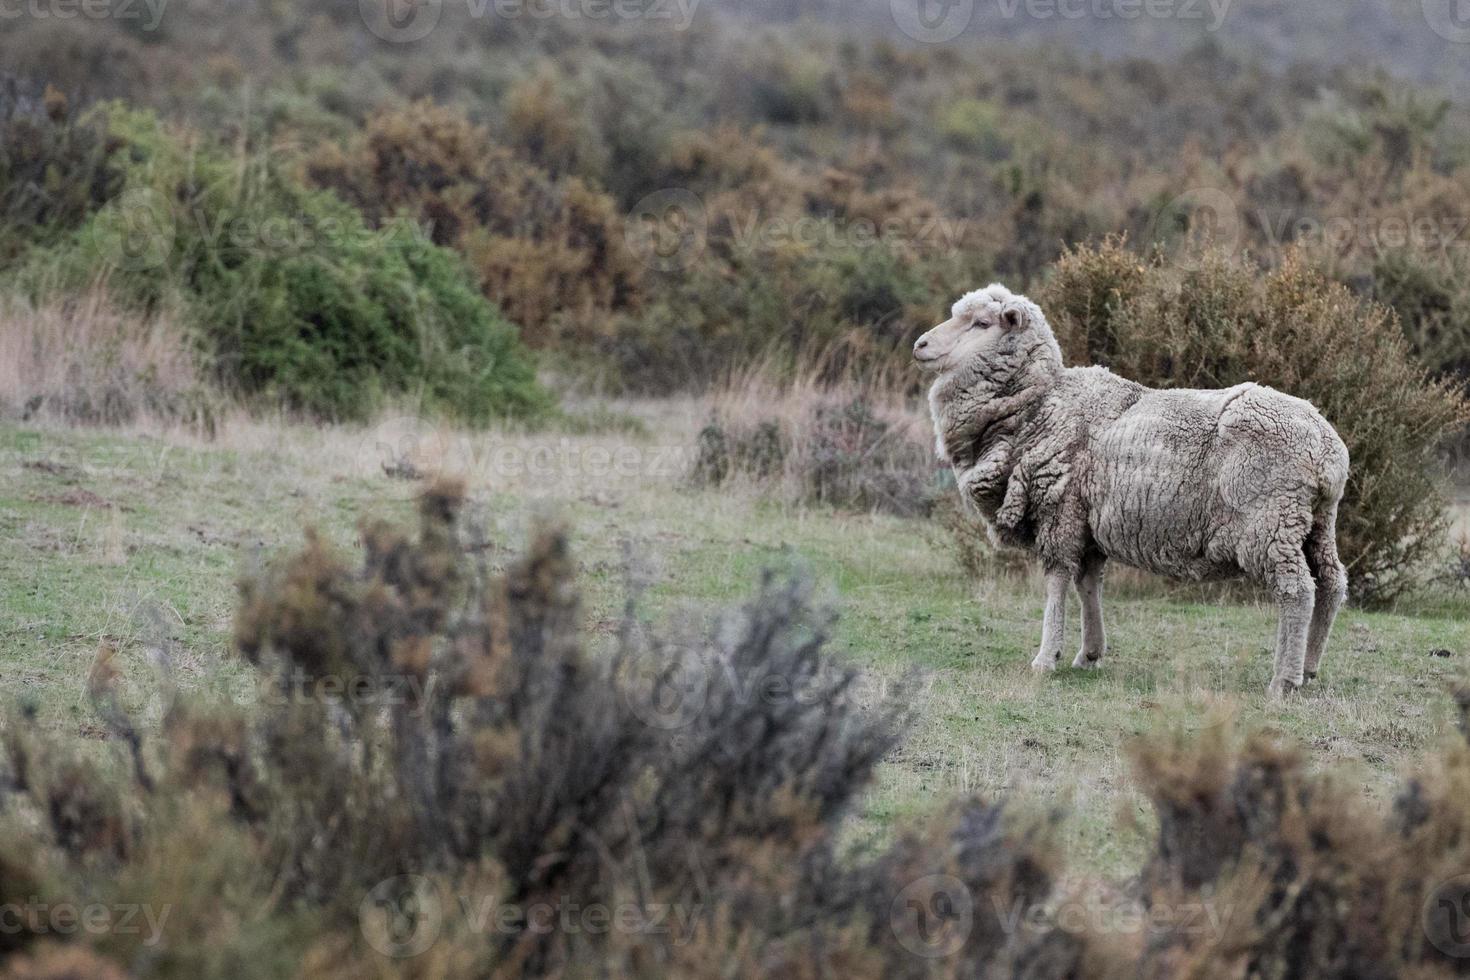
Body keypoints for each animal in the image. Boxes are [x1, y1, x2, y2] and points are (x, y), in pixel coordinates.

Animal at [923, 283, 1346, 696]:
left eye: (981, 323)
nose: (920, 345)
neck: (1038, 406)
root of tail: (1329, 453)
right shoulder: (1086, 522)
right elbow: (1088, 584)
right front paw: (1089, 653)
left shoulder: (1059, 511)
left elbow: (1057, 583)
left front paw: (1045, 658)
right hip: (1315, 523)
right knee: (1330, 584)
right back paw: (1309, 668)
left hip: (1270, 522)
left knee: (1296, 591)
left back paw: (1284, 679)